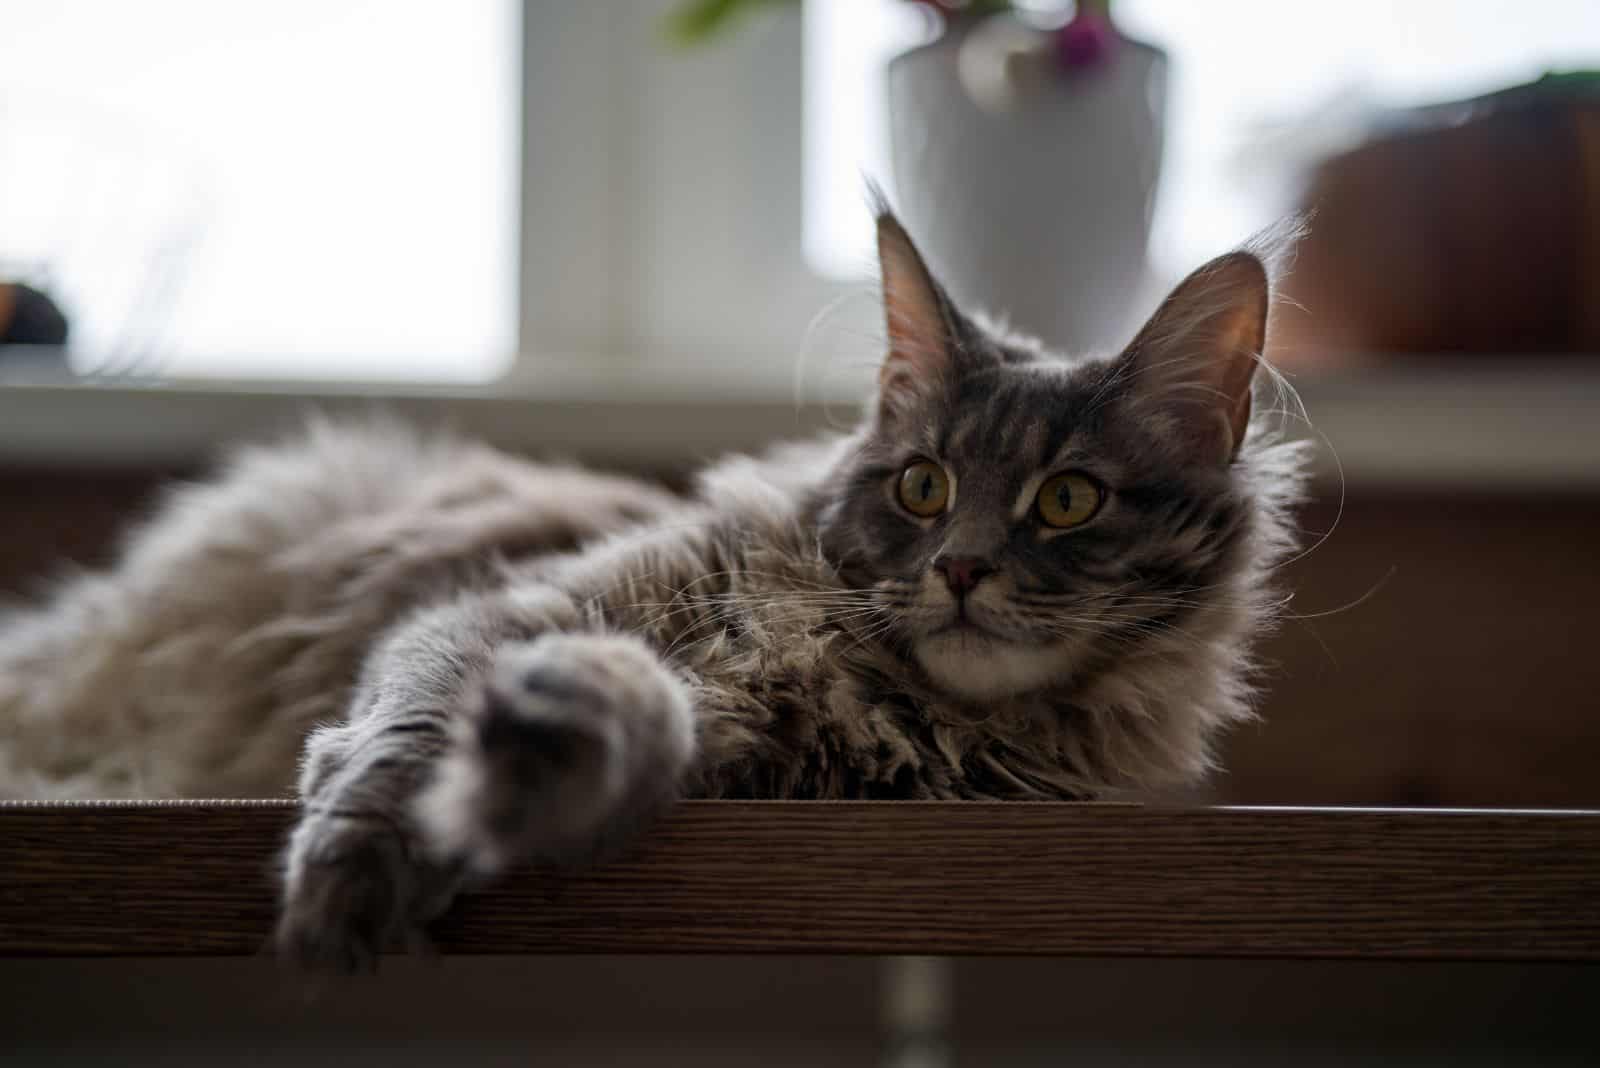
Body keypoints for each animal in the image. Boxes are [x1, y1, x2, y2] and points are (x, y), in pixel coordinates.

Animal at [0, 207, 1312, 965]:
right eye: (924, 487)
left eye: (1068, 500)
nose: (959, 569)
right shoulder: (504, 608)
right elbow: (405, 741)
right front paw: (356, 880)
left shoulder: (760, 771)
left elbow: (645, 712)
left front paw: (549, 745)